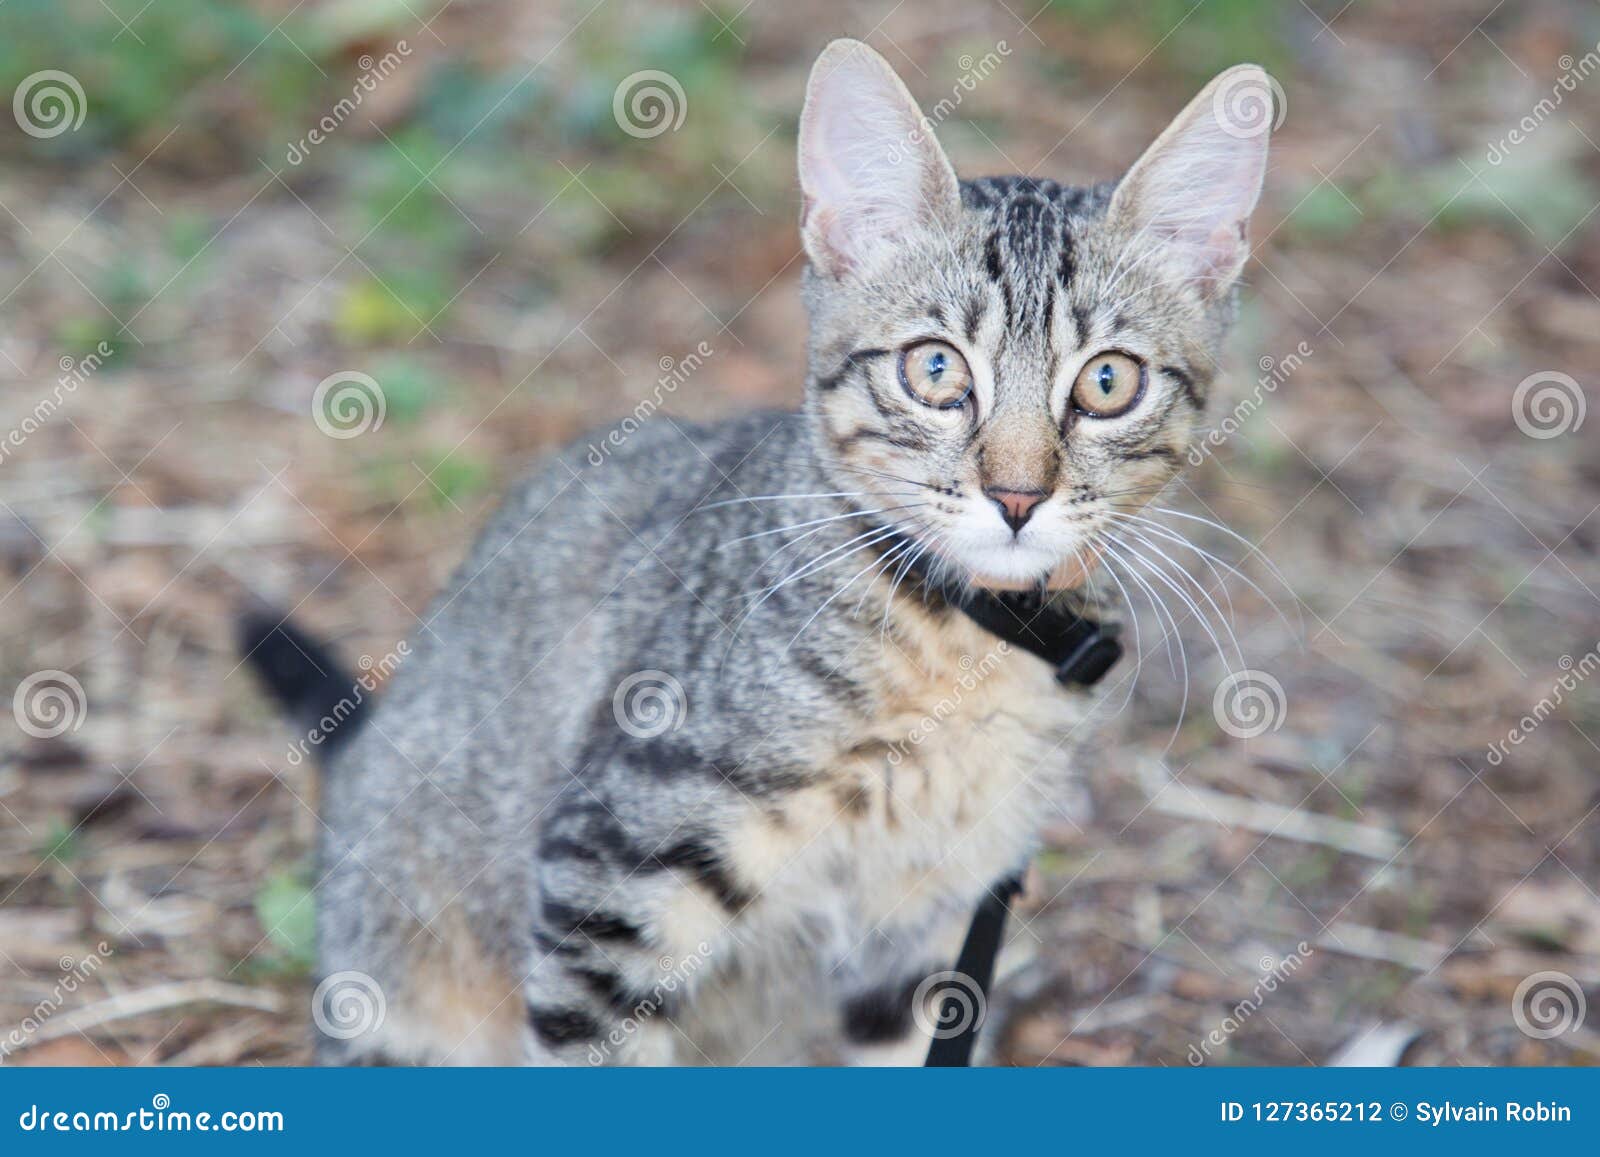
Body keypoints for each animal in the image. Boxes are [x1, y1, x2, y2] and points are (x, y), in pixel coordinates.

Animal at [262, 38, 1273, 1068]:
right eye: (935, 369)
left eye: (1108, 383)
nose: (1019, 497)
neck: (965, 654)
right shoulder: (611, 872)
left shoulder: (931, 932)